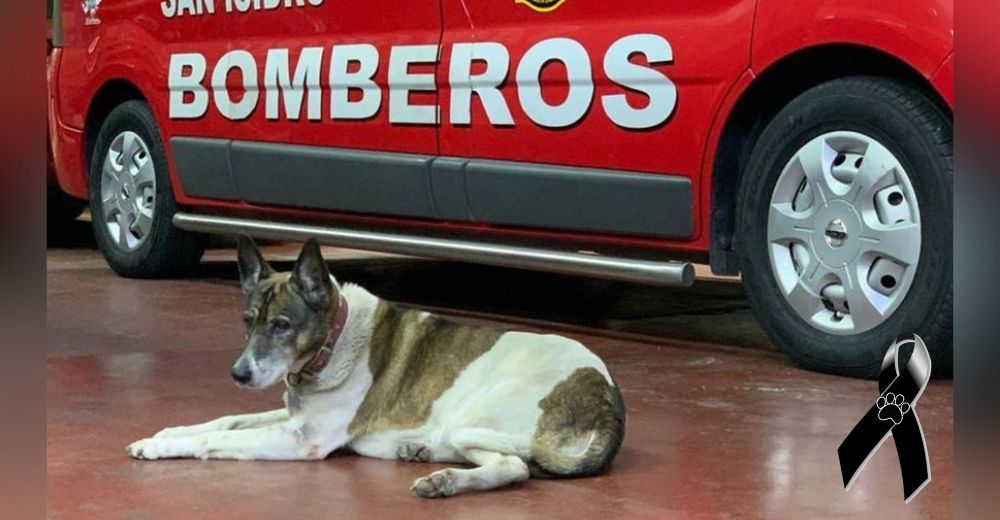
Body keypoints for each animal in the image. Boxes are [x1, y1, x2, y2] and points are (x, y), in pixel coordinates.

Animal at [125, 238, 624, 498]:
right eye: (248, 322)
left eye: (282, 325)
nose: (239, 374)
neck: (333, 342)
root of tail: (608, 400)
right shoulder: (293, 414)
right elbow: (225, 419)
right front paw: (170, 431)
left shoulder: (300, 439)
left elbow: (217, 439)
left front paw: (160, 447)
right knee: (511, 464)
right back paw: (434, 468)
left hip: (473, 418)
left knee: (515, 465)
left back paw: (441, 475)